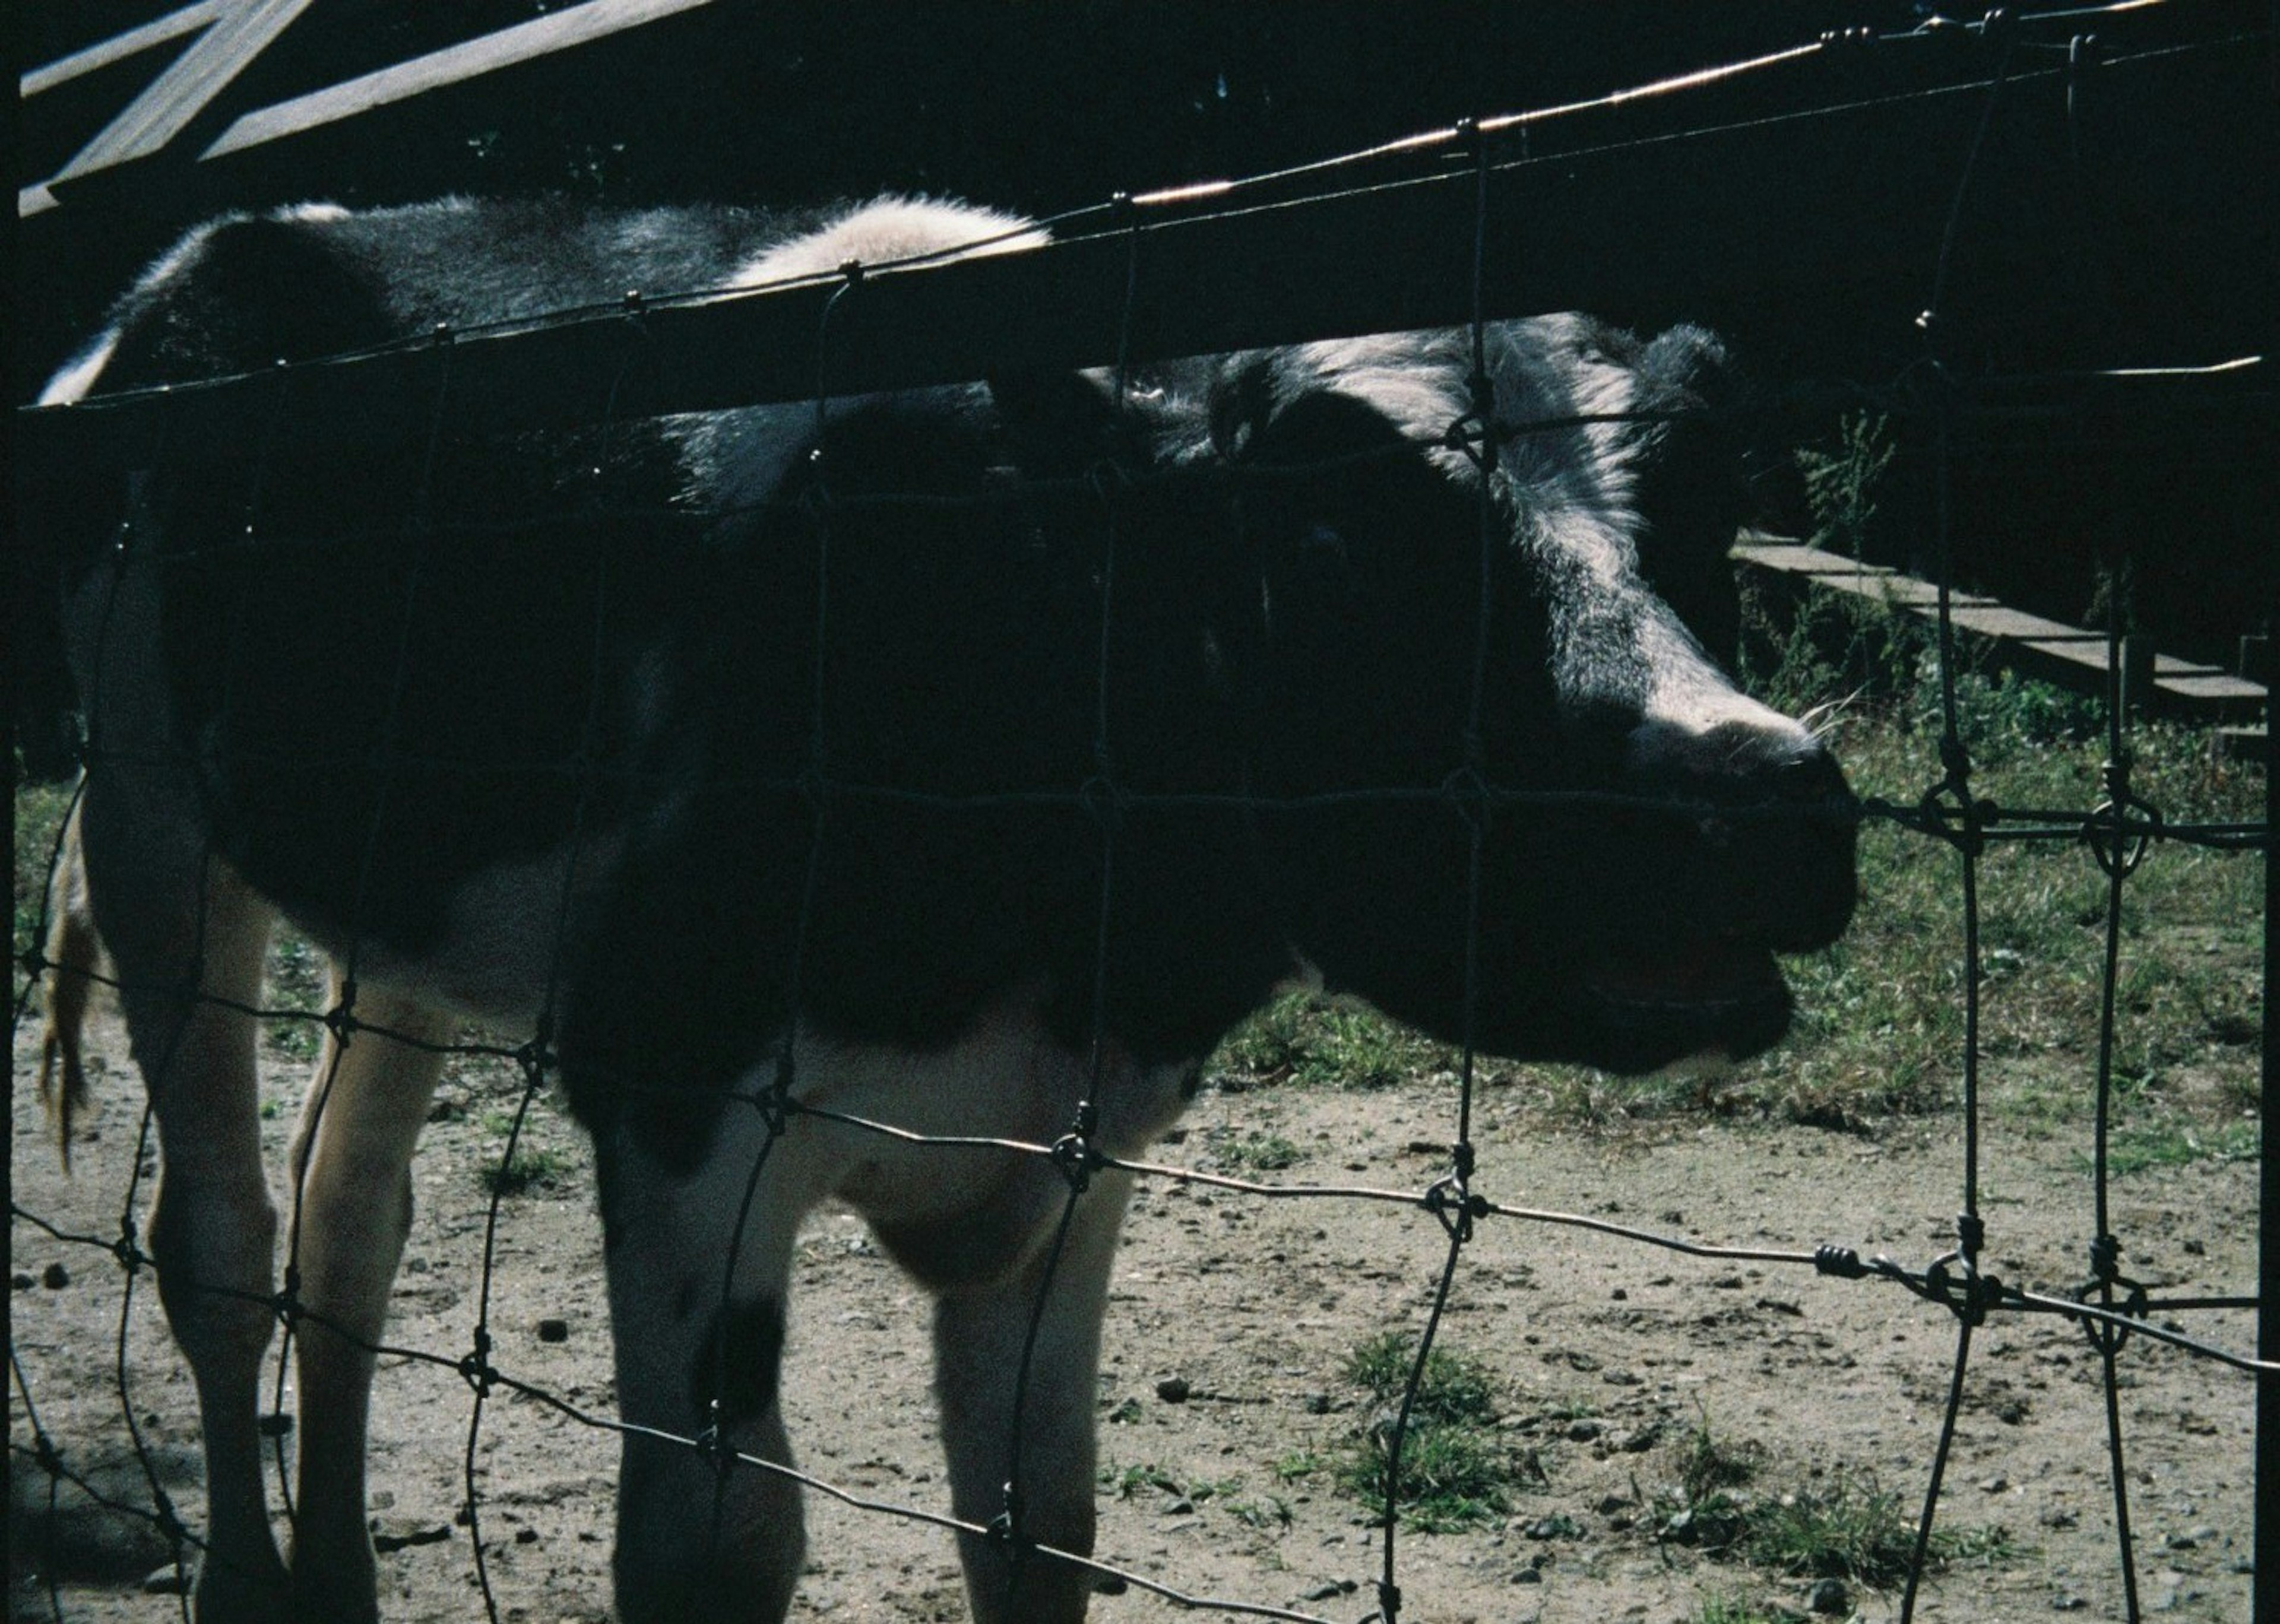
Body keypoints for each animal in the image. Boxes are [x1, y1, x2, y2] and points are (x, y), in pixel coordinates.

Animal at [36, 194, 1851, 1624]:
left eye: (1707, 500)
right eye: (1332, 535)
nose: (1762, 794)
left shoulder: (1078, 1148)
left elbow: (1038, 1522)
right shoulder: (678, 1091)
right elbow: (720, 1544)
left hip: (401, 916)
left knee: (347, 1217)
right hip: (148, 813)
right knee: (218, 1240)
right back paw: (247, 1577)